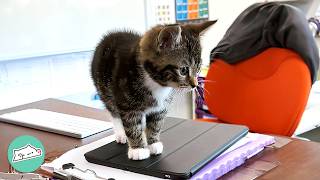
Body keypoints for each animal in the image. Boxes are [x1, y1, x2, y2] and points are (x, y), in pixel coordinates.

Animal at [90, 21, 215, 160]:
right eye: (183, 70)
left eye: (198, 69)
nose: (194, 85)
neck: (157, 84)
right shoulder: (126, 104)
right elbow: (131, 124)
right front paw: (138, 149)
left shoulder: (161, 106)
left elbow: (156, 123)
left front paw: (153, 143)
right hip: (104, 89)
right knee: (114, 112)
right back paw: (121, 134)